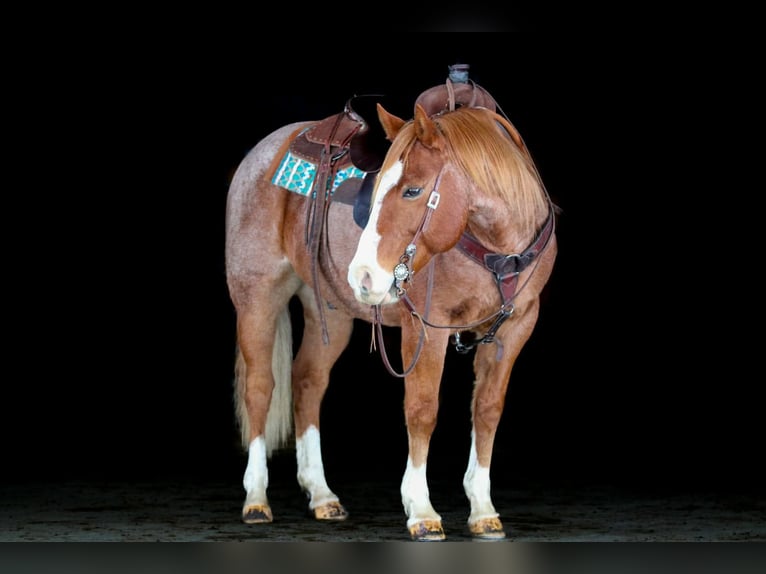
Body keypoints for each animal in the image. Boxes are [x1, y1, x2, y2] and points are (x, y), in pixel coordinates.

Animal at [224, 71, 558, 541]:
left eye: (414, 190)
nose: (363, 276)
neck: (497, 247)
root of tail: (260, 153)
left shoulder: (515, 328)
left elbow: (487, 410)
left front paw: (482, 509)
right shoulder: (427, 328)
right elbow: (422, 409)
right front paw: (421, 510)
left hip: (328, 309)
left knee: (308, 381)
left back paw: (322, 496)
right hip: (257, 295)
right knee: (259, 388)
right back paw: (256, 498)